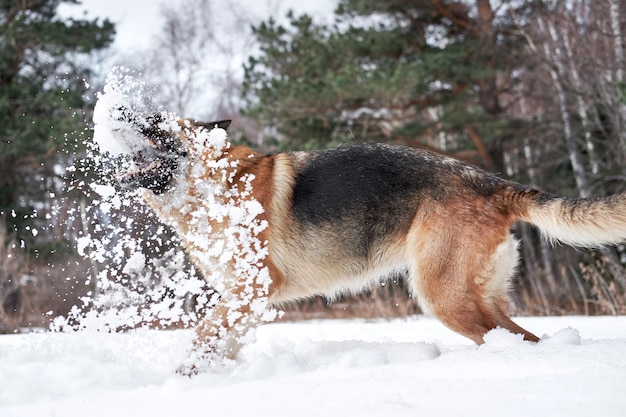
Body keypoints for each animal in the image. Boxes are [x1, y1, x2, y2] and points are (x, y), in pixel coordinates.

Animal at [92, 105, 624, 372]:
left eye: (160, 123)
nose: (123, 109)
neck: (213, 187)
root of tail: (492, 183)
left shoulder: (253, 287)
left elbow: (204, 333)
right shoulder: (242, 299)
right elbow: (220, 340)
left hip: (441, 295)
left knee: (515, 339)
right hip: (471, 295)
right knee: (519, 334)